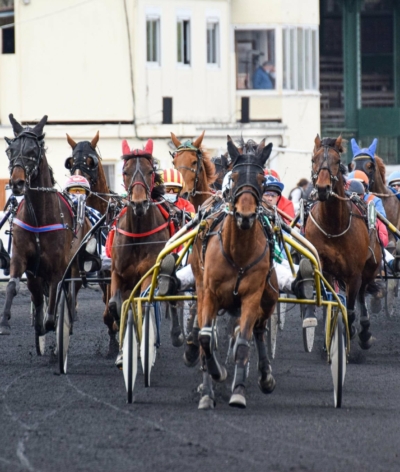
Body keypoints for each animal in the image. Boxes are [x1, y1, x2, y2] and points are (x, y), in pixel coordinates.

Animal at [0, 115, 76, 340]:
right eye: (10, 150)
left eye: (33, 151)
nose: (17, 183)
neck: (39, 218)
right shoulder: (21, 258)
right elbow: (12, 286)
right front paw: (5, 322)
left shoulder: (59, 266)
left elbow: (54, 293)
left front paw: (52, 322)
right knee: (37, 294)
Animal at [191, 136, 278, 410]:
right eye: (236, 175)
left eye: (262, 178)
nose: (246, 215)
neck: (238, 251)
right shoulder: (209, 293)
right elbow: (205, 339)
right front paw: (212, 381)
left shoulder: (252, 296)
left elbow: (243, 344)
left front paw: (238, 391)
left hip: (269, 295)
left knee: (259, 330)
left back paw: (265, 376)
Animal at [306, 135, 382, 348]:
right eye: (313, 159)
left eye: (337, 161)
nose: (322, 188)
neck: (333, 227)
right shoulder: (325, 270)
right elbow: (330, 302)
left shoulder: (354, 273)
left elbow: (351, 308)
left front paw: (353, 331)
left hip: (370, 267)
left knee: (363, 293)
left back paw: (364, 331)